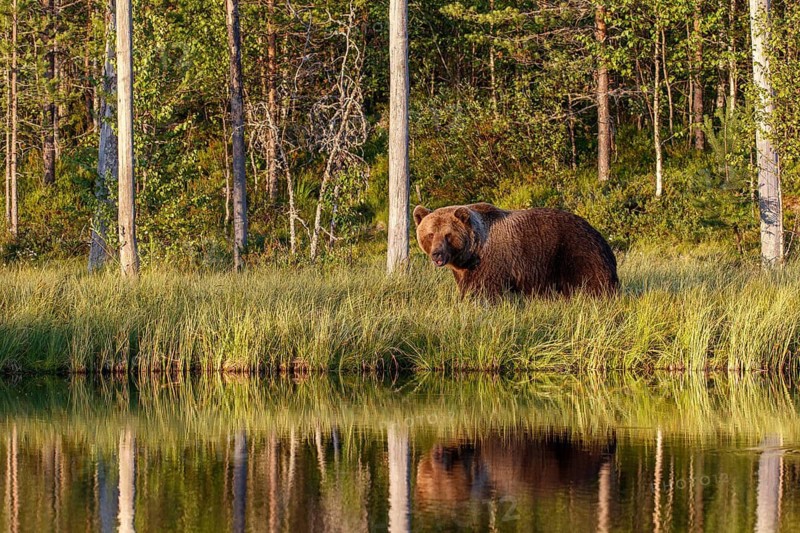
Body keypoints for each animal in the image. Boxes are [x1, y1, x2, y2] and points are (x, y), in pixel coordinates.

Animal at [413, 202, 618, 299]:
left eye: (448, 235)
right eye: (430, 234)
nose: (437, 254)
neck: (471, 254)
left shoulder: (492, 263)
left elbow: (486, 292)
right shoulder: (464, 270)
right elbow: (466, 288)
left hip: (576, 253)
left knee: (592, 284)